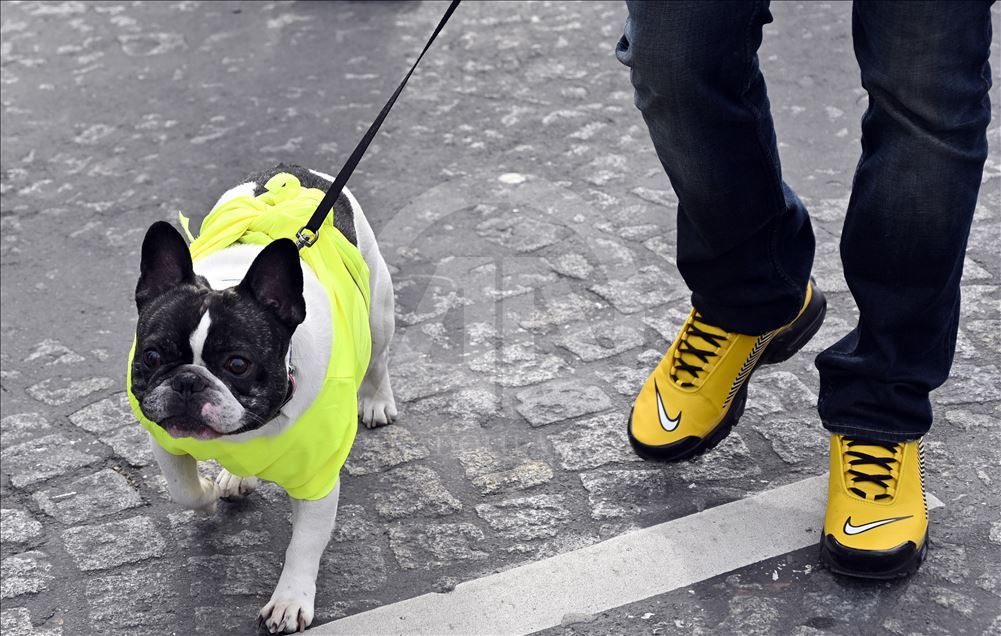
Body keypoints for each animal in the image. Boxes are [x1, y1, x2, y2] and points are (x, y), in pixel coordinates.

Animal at [131, 164, 396, 632]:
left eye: (237, 364)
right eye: (152, 356)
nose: (188, 382)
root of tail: (296, 171)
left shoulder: (317, 481)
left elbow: (304, 544)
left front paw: (290, 601)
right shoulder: (164, 439)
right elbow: (184, 491)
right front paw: (208, 490)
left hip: (378, 311)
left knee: (379, 358)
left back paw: (376, 401)